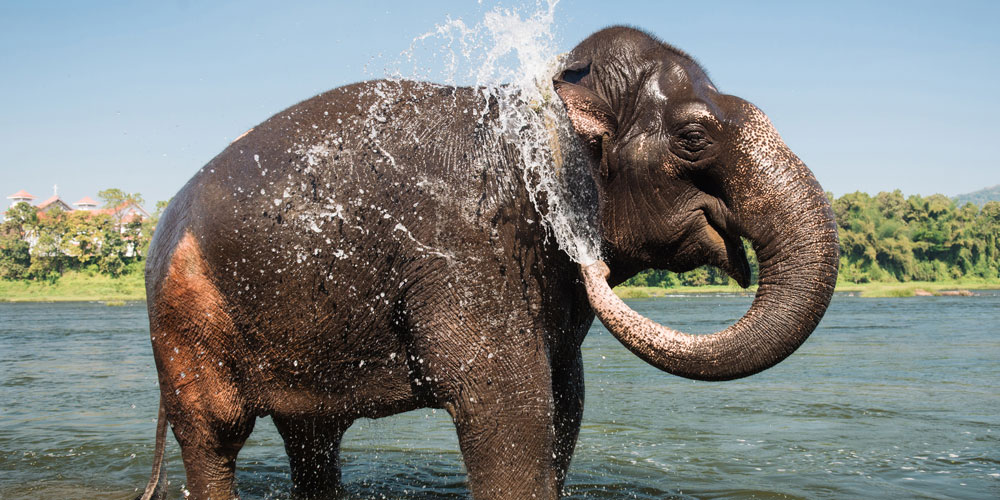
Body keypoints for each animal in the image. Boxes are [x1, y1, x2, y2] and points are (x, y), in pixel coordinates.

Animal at [135, 27, 836, 500]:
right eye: (694, 138)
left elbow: (566, 399)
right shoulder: (466, 251)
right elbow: (507, 400)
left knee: (313, 437)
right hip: (185, 319)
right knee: (216, 433)